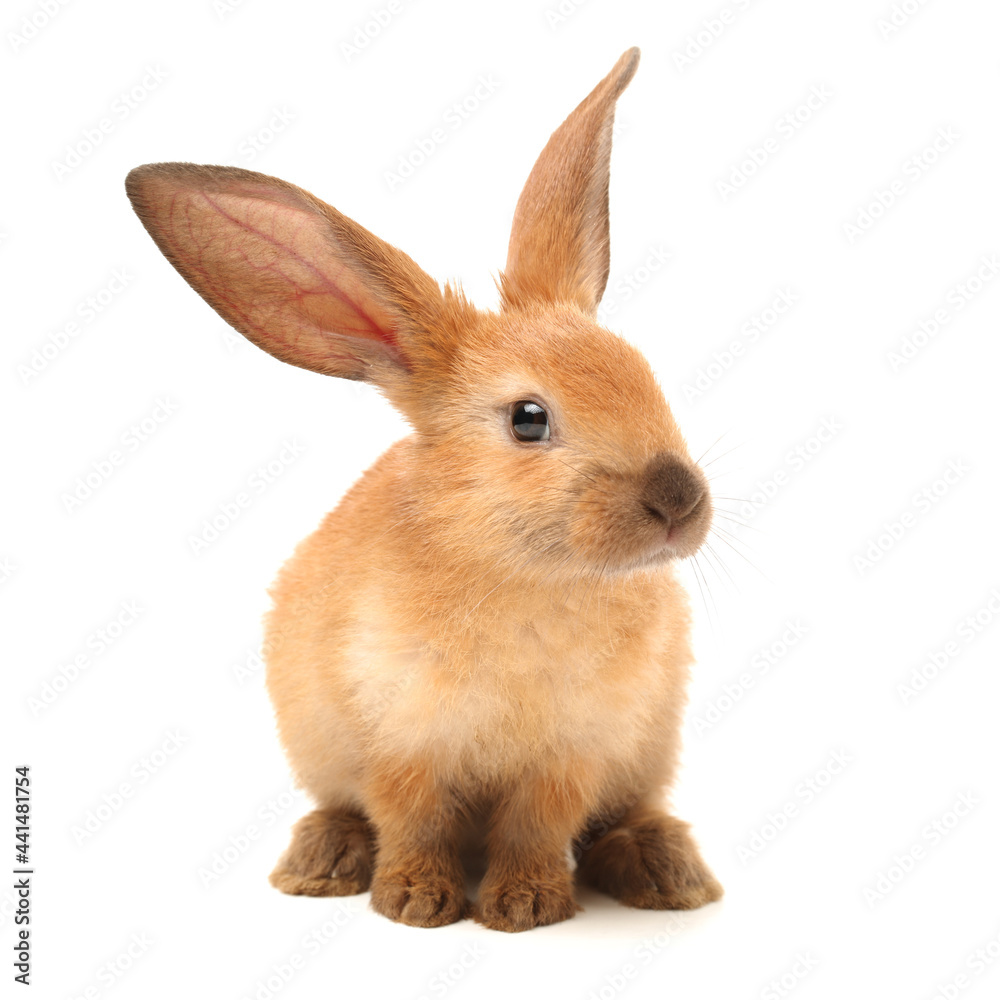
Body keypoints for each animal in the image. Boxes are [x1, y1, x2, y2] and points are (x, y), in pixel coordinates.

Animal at [125, 46, 722, 932]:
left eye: (643, 373)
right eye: (529, 419)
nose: (679, 501)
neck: (524, 575)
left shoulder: (575, 754)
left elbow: (539, 828)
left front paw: (523, 907)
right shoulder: (397, 740)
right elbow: (411, 820)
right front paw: (414, 903)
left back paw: (665, 873)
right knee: (345, 809)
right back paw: (321, 863)